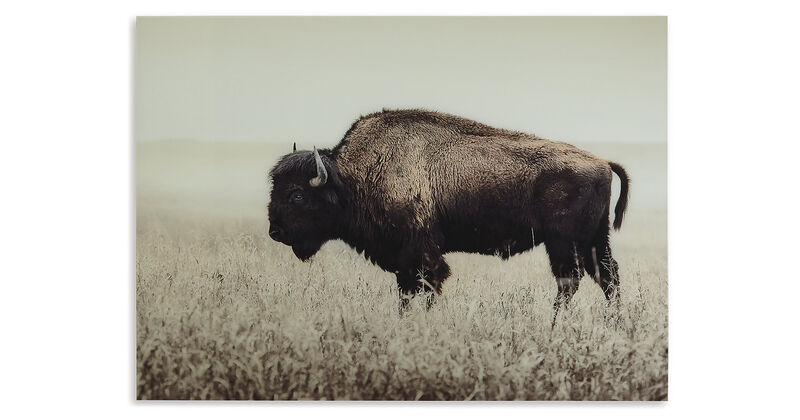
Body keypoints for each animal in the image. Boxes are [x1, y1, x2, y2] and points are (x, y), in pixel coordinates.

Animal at [268, 109, 629, 316]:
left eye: (297, 195)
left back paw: (556, 323)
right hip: (594, 239)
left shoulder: (422, 253)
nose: (275, 232)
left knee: (570, 280)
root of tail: (601, 162)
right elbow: (406, 291)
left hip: (563, 242)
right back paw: (614, 322)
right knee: (607, 276)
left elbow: (427, 285)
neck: (352, 177)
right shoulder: (404, 259)